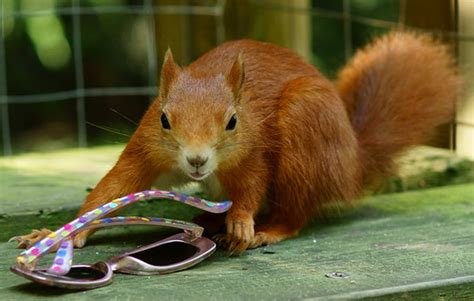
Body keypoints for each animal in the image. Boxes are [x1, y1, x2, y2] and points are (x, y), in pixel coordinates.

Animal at [14, 31, 460, 253]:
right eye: (164, 118)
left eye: (232, 121)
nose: (196, 160)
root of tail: (352, 164)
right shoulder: (146, 148)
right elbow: (114, 188)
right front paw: (57, 234)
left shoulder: (253, 150)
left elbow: (251, 183)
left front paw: (244, 222)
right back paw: (213, 221)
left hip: (306, 125)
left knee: (296, 211)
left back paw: (267, 229)